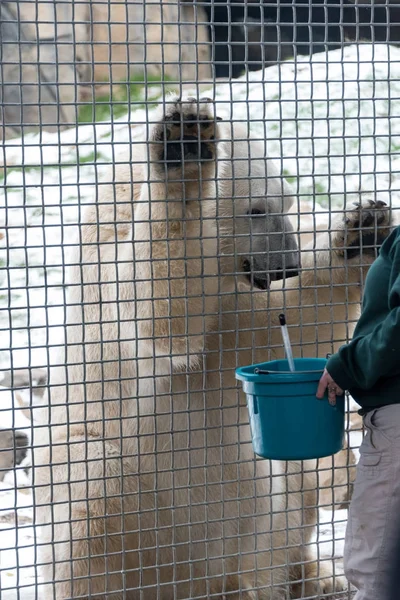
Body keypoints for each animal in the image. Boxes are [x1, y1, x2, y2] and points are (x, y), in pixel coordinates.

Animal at [33, 96, 390, 596]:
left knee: (291, 492)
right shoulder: (110, 247)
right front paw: (183, 148)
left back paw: (312, 577)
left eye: (286, 202)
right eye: (256, 209)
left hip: (264, 529)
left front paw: (361, 232)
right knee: (92, 497)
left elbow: (279, 326)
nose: (288, 264)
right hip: (119, 491)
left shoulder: (229, 312)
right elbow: (156, 312)